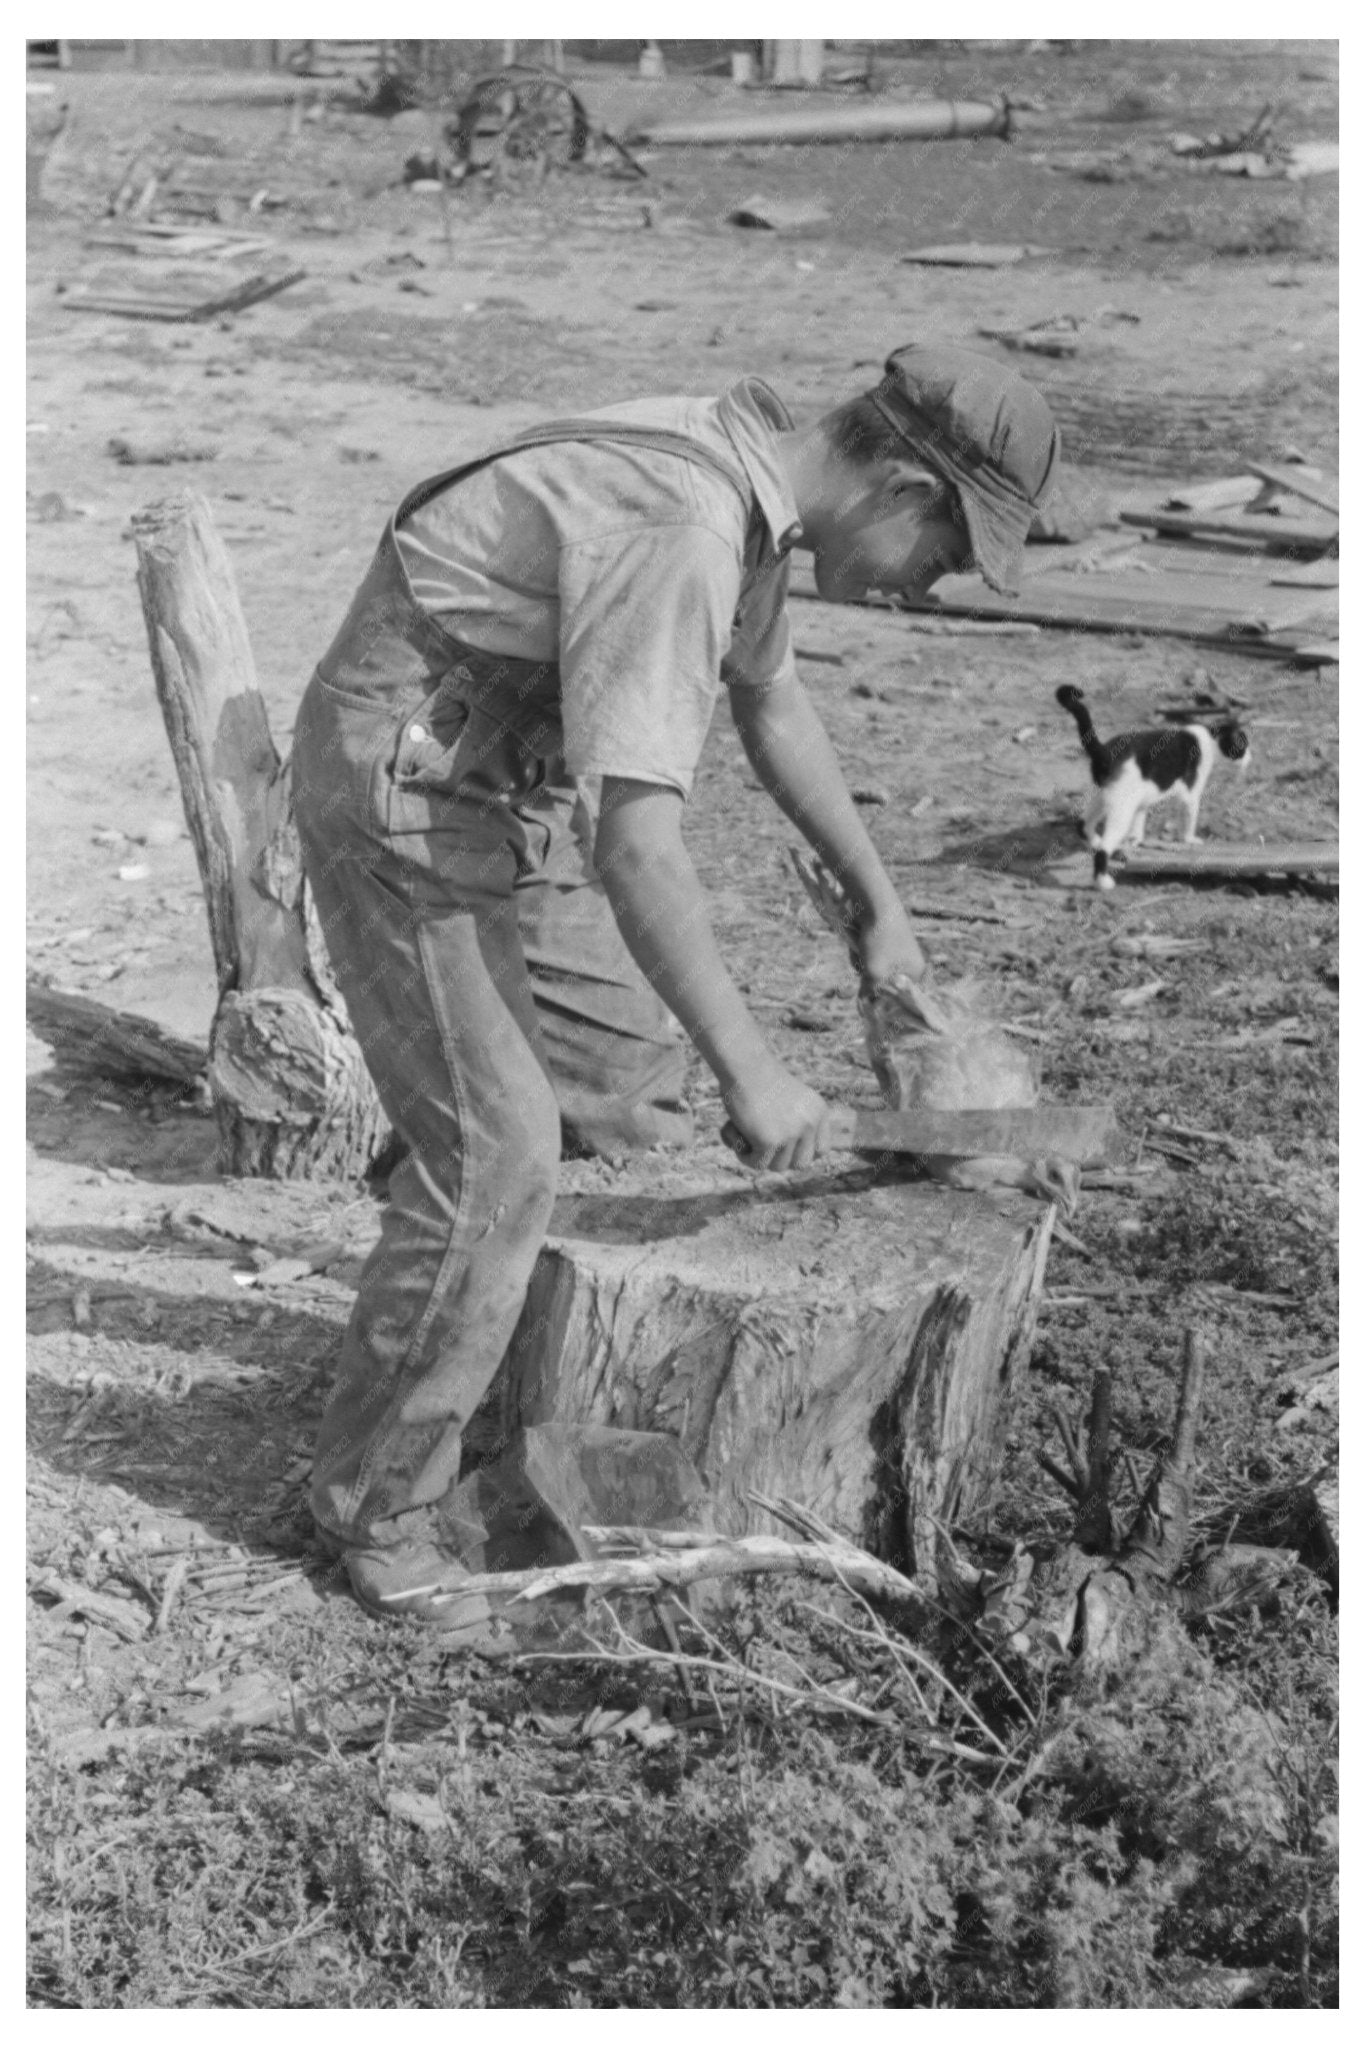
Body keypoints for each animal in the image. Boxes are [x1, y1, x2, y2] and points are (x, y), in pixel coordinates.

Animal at [1055, 688, 1252, 888]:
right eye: (1243, 745)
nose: (1250, 757)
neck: (1209, 739)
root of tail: (1104, 751)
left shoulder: (1140, 801)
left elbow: (1138, 825)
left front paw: (1135, 842)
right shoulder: (1190, 795)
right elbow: (1189, 820)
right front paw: (1190, 839)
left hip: (1105, 796)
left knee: (1083, 823)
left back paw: (1095, 841)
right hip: (1121, 807)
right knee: (1103, 848)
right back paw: (1103, 882)